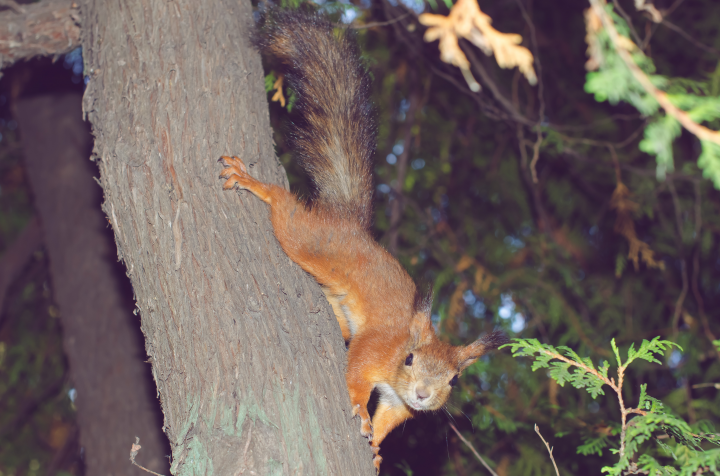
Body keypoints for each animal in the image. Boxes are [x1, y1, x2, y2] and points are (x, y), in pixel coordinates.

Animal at [218, 10, 507, 472]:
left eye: (454, 379)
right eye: (410, 358)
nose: (423, 394)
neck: (398, 355)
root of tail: (350, 225)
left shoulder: (398, 403)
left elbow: (389, 419)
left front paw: (375, 449)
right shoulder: (374, 349)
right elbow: (355, 373)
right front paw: (357, 409)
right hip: (307, 240)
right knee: (285, 210)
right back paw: (254, 183)